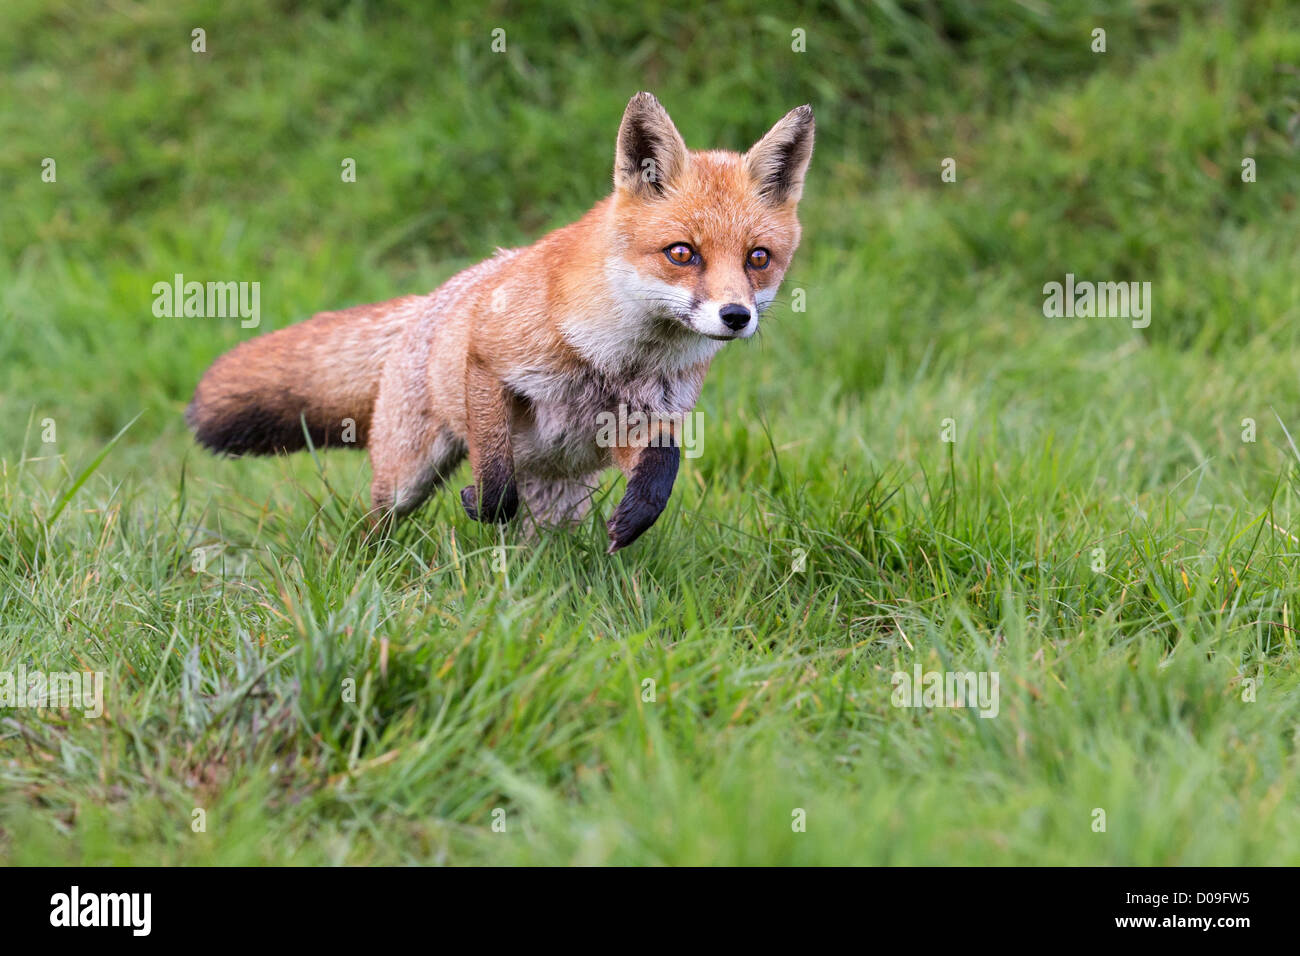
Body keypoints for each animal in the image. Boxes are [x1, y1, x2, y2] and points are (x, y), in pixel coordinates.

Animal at [187, 92, 814, 552]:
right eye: (682, 253)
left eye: (758, 258)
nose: (736, 316)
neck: (617, 360)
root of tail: (432, 299)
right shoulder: (490, 362)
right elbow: (493, 477)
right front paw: (481, 502)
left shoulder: (636, 422)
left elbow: (664, 468)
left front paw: (637, 517)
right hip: (405, 477)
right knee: (379, 521)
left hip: (562, 497)